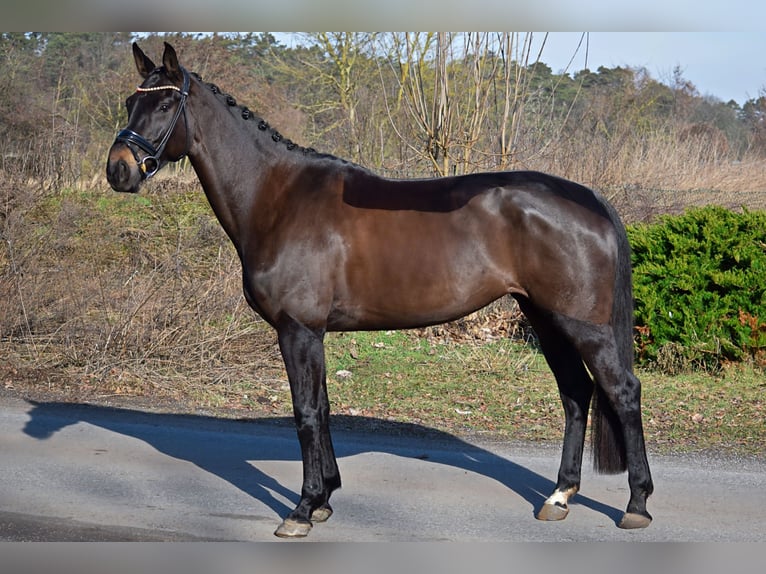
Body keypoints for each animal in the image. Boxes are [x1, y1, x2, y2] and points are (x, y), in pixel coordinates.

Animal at [106, 42, 653, 538]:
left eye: (164, 104)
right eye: (130, 102)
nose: (118, 170)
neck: (278, 198)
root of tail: (589, 198)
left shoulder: (297, 330)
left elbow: (306, 413)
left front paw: (301, 510)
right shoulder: (313, 334)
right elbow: (324, 408)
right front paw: (325, 498)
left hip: (581, 325)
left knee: (622, 391)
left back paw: (637, 506)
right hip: (544, 318)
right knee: (576, 392)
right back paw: (559, 497)